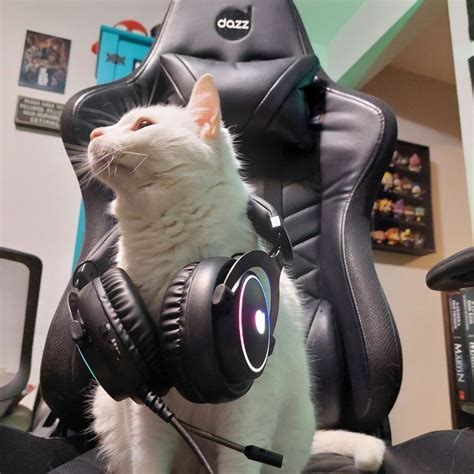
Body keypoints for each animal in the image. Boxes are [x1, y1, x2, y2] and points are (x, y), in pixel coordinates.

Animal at [88, 72, 386, 472]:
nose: (94, 134)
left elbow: (239, 462)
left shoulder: (249, 411)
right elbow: (148, 461)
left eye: (142, 125)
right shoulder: (147, 410)